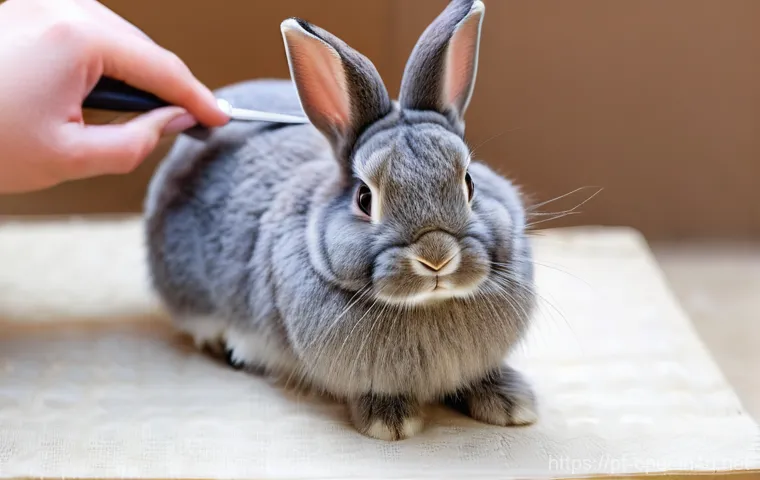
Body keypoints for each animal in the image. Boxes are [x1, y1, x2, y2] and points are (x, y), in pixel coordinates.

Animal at [144, 0, 538, 441]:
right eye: (364, 198)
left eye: (469, 182)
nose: (436, 258)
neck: (429, 304)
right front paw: (391, 422)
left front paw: (511, 404)